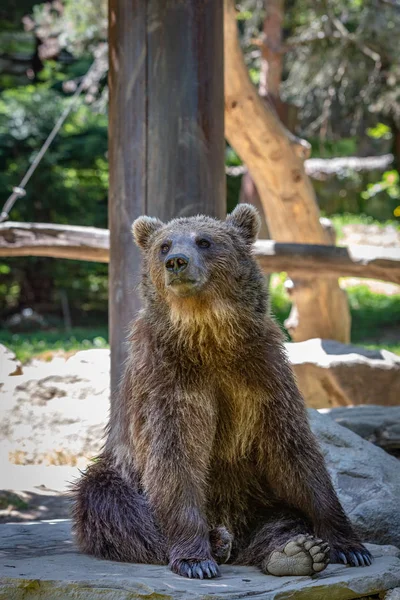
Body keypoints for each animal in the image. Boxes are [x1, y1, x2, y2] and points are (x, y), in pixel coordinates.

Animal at [72, 204, 372, 580]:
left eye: (204, 241)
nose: (176, 262)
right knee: (109, 502)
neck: (209, 334)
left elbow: (294, 452)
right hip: (121, 472)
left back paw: (296, 551)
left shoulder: (262, 374)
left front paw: (350, 546)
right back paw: (218, 542)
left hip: (256, 495)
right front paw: (195, 560)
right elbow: (175, 455)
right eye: (164, 245)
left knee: (283, 518)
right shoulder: (168, 378)